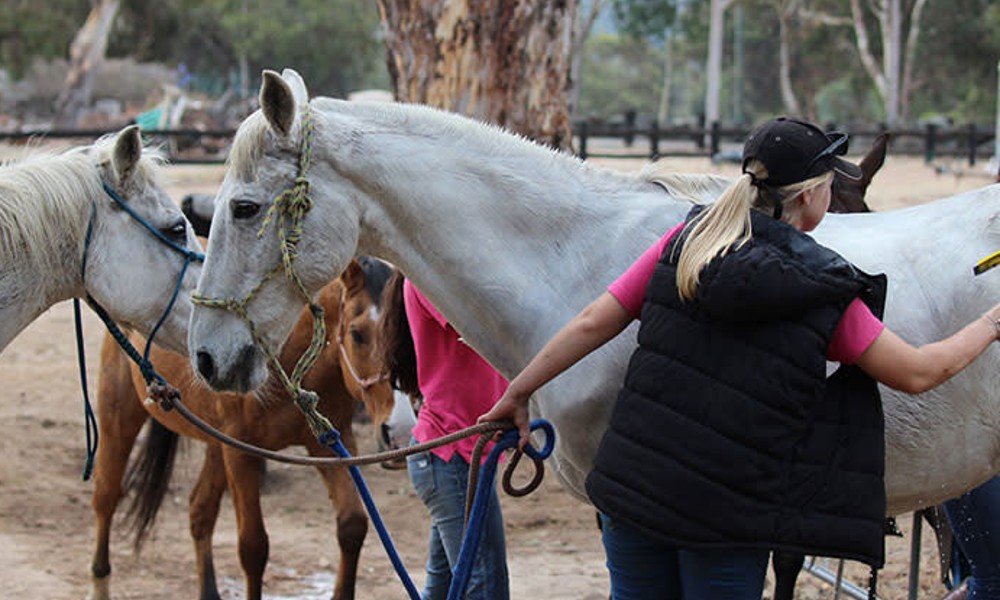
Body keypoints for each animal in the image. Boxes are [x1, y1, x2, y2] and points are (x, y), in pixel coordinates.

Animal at [88, 256, 396, 600]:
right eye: (357, 334)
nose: (396, 430)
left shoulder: (328, 444)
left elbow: (353, 524)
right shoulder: (241, 453)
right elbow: (253, 547)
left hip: (215, 443)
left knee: (200, 511)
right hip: (120, 416)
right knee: (106, 496)